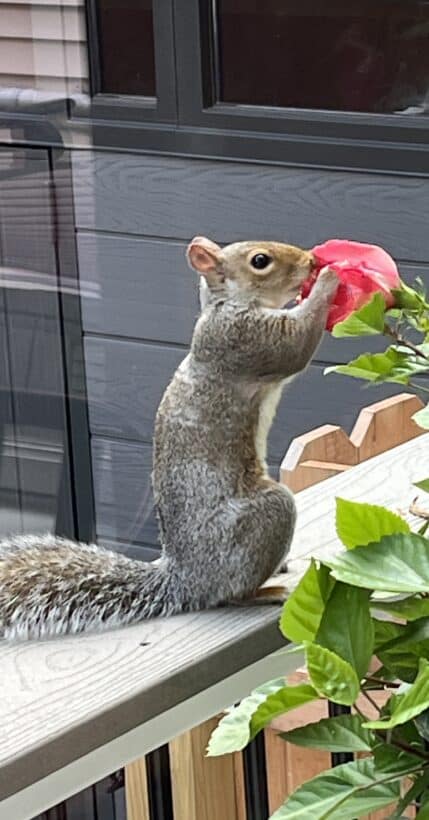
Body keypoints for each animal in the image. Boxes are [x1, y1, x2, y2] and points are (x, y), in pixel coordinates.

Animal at [0, 237, 338, 639]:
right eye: (260, 261)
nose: (312, 260)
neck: (227, 304)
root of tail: (187, 580)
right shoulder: (242, 340)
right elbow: (294, 347)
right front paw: (328, 282)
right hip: (265, 515)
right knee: (229, 595)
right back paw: (267, 590)